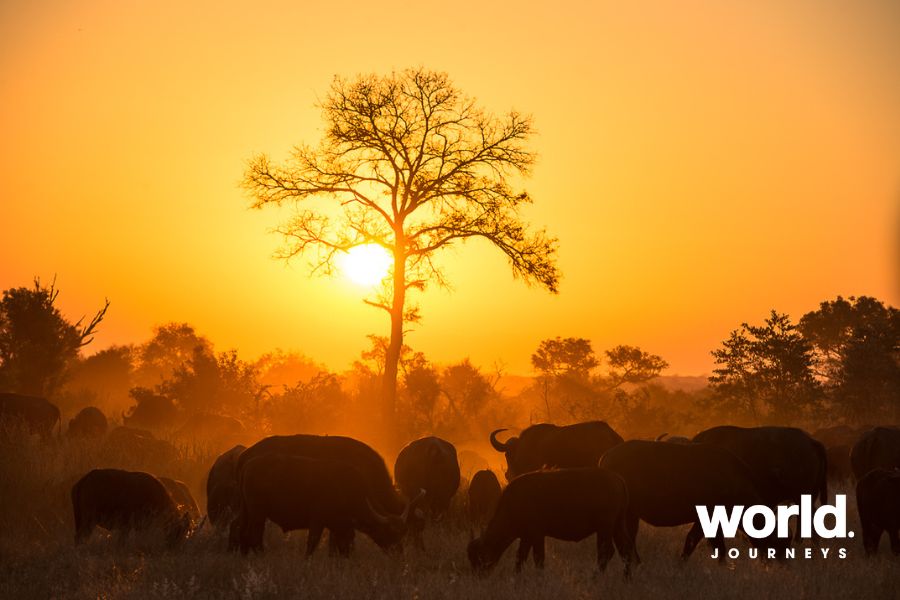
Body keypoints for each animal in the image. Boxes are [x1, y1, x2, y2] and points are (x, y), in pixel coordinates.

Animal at [235, 453, 423, 556]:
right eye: (389, 532)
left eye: (402, 533)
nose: (399, 553)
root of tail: (247, 466)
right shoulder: (318, 521)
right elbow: (312, 544)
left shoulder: (340, 526)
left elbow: (344, 547)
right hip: (258, 514)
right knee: (254, 536)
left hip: (247, 512)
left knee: (243, 533)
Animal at [467, 467, 635, 576]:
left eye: (479, 557)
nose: (478, 576)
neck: (513, 503)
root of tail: (618, 479)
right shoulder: (526, 537)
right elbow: (520, 557)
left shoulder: (536, 535)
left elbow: (538, 558)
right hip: (617, 527)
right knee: (625, 550)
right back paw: (626, 578)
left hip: (604, 529)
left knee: (605, 552)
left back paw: (597, 576)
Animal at [599, 440, 784, 560]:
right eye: (780, 538)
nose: (782, 563)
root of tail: (605, 458)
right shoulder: (708, 520)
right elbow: (703, 545)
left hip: (631, 516)